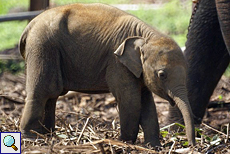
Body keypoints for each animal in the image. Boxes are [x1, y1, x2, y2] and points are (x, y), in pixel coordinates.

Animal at [19, 3, 195, 146]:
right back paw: (31, 137)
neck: (147, 36)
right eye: (162, 75)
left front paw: (154, 146)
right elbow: (130, 101)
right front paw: (125, 142)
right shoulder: (117, 64)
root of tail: (30, 25)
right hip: (42, 47)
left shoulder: (136, 70)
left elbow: (147, 103)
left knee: (52, 95)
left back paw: (48, 135)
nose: (192, 145)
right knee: (43, 92)